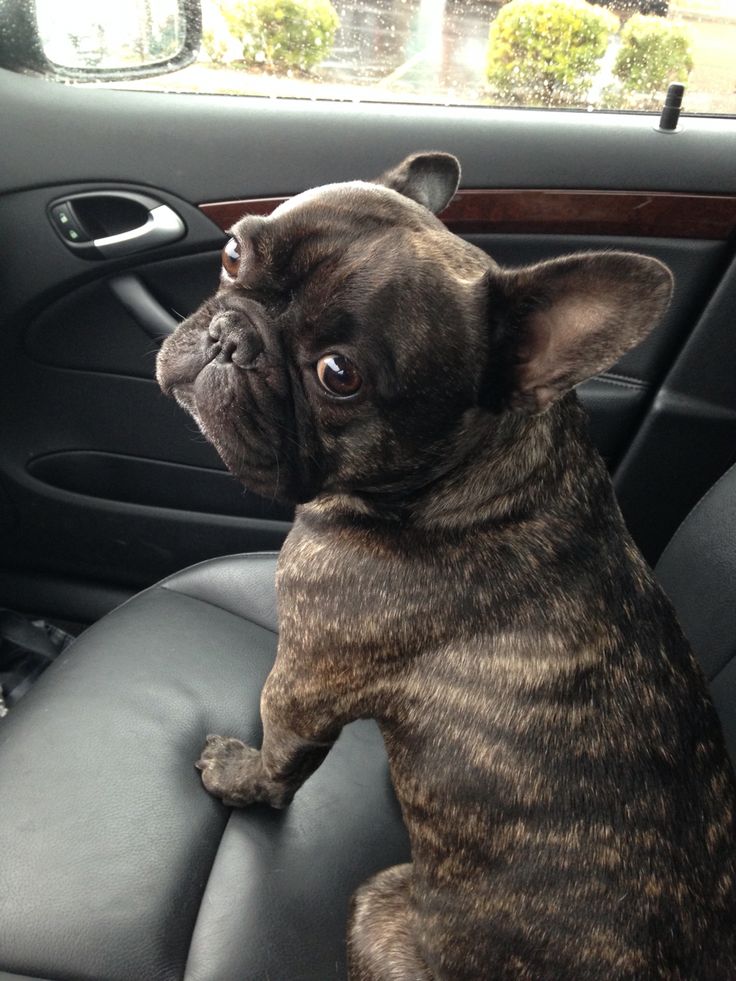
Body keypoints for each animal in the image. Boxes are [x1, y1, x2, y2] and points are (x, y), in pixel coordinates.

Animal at [157, 155, 736, 980]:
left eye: (339, 373)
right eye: (235, 253)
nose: (230, 335)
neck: (458, 487)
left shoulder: (305, 674)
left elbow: (281, 756)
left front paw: (239, 776)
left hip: (377, 905)